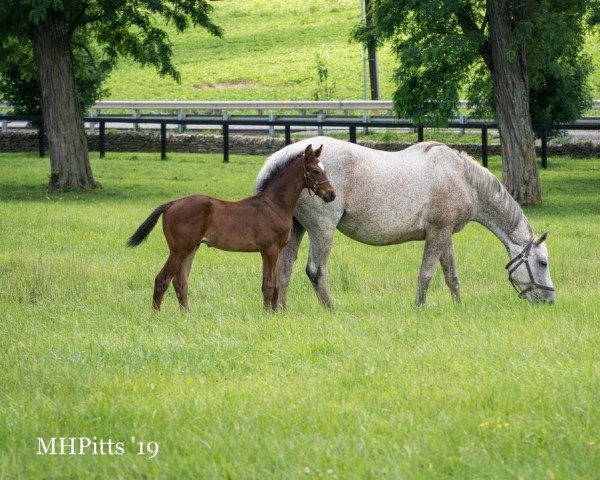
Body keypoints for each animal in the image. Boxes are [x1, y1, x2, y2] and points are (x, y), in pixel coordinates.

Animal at [127, 144, 336, 312]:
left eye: (324, 169)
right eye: (314, 171)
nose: (331, 195)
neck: (274, 204)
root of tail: (171, 204)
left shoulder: (277, 250)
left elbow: (275, 285)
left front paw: (274, 313)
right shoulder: (269, 249)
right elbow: (268, 285)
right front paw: (268, 315)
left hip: (191, 249)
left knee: (180, 282)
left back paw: (186, 315)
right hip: (178, 250)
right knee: (162, 279)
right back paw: (155, 316)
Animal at [255, 137, 556, 306]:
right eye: (543, 263)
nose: (550, 300)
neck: (460, 177)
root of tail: (286, 156)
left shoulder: (444, 234)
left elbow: (452, 276)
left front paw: (458, 308)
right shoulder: (437, 234)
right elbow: (426, 275)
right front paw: (418, 309)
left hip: (297, 230)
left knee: (284, 271)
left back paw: (281, 311)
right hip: (322, 230)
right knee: (316, 271)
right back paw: (332, 309)